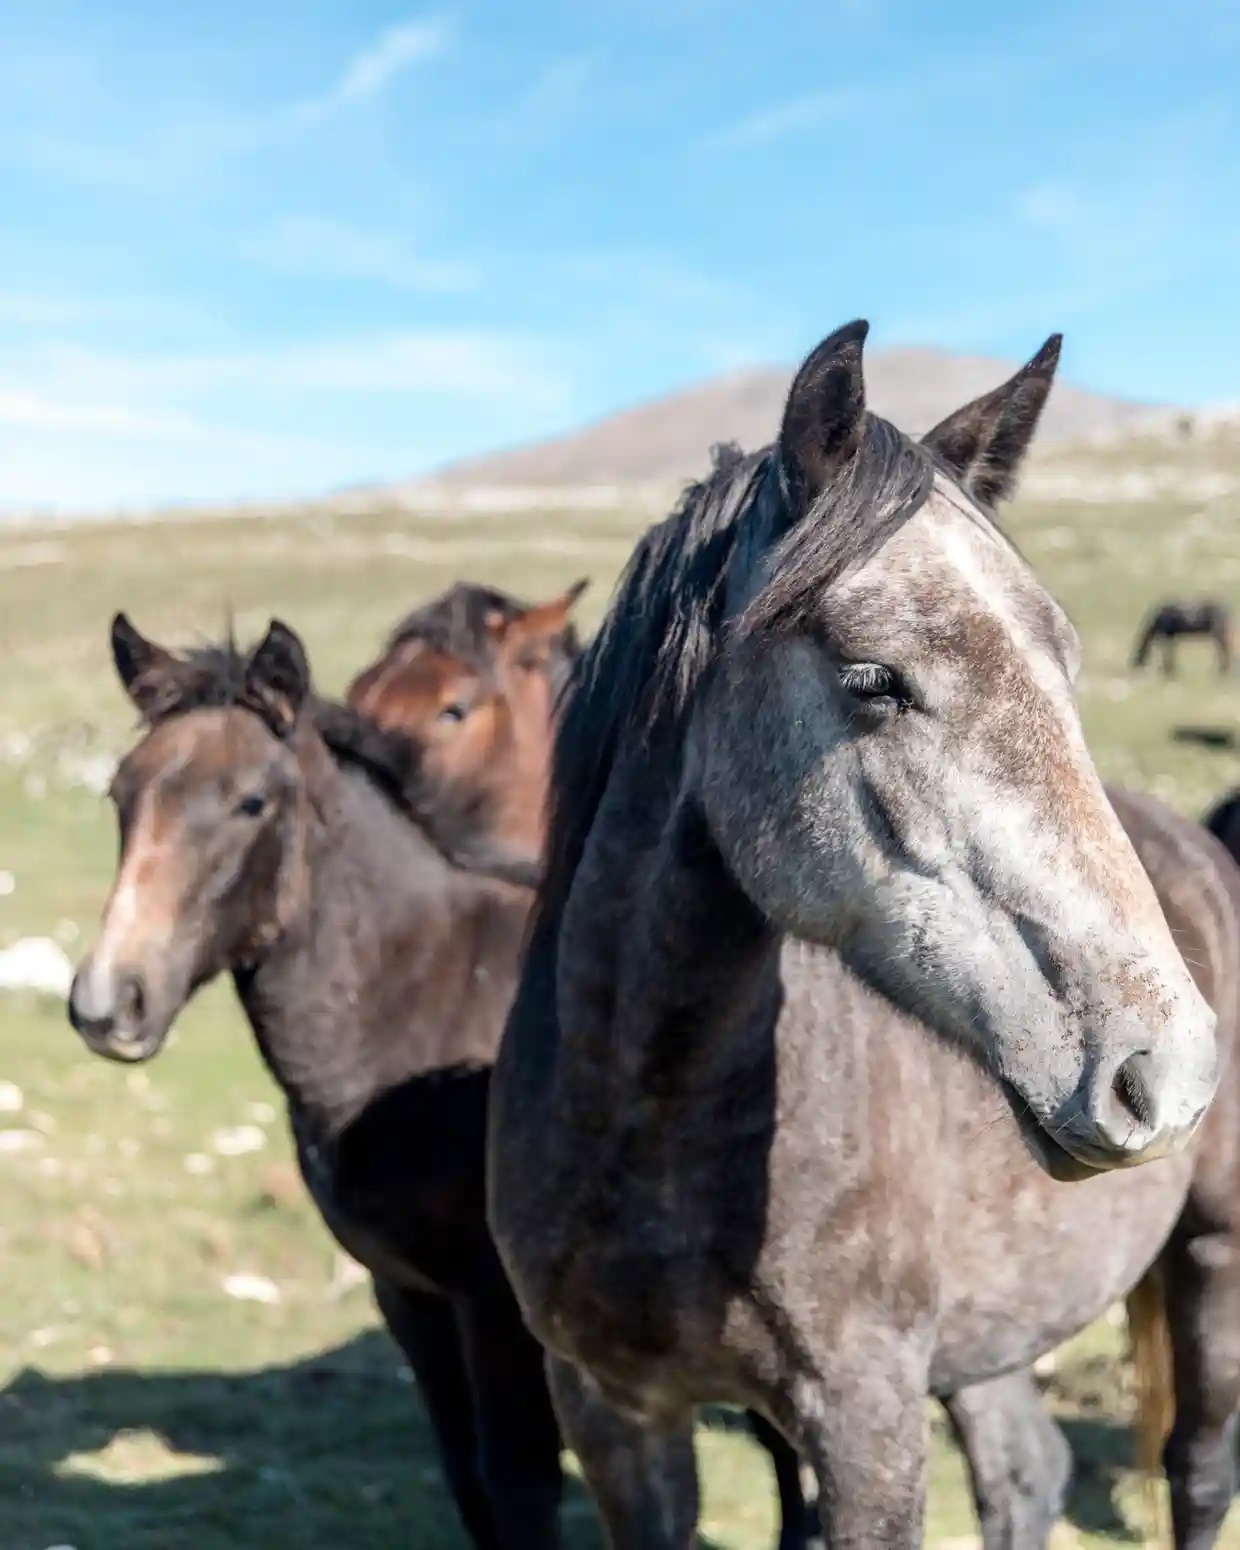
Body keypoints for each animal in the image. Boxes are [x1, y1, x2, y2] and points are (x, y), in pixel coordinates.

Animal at [68, 589, 585, 1550]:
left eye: (252, 802)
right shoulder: (409, 1296)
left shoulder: (495, 1306)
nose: (107, 1003)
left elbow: (520, 1486)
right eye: (123, 793)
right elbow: (469, 1482)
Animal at [486, 317, 1221, 1550]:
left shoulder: (867, 1421)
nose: (1161, 1071)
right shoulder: (611, 1411)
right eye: (875, 679)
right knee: (1026, 1468)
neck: (647, 1122)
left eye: (1066, 669)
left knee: (1196, 1472)